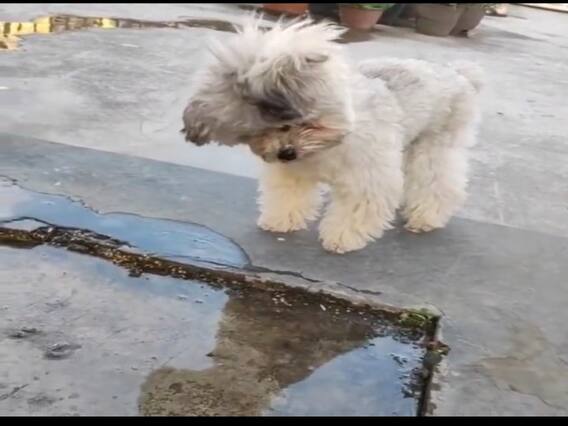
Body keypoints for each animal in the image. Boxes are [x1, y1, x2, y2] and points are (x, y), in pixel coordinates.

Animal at [182, 16, 483, 254]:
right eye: (256, 131)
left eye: (300, 121)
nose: (286, 152)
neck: (326, 147)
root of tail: (458, 73)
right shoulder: (293, 173)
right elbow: (288, 196)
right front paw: (281, 220)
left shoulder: (366, 179)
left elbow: (356, 209)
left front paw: (342, 238)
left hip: (433, 146)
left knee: (438, 182)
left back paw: (426, 217)